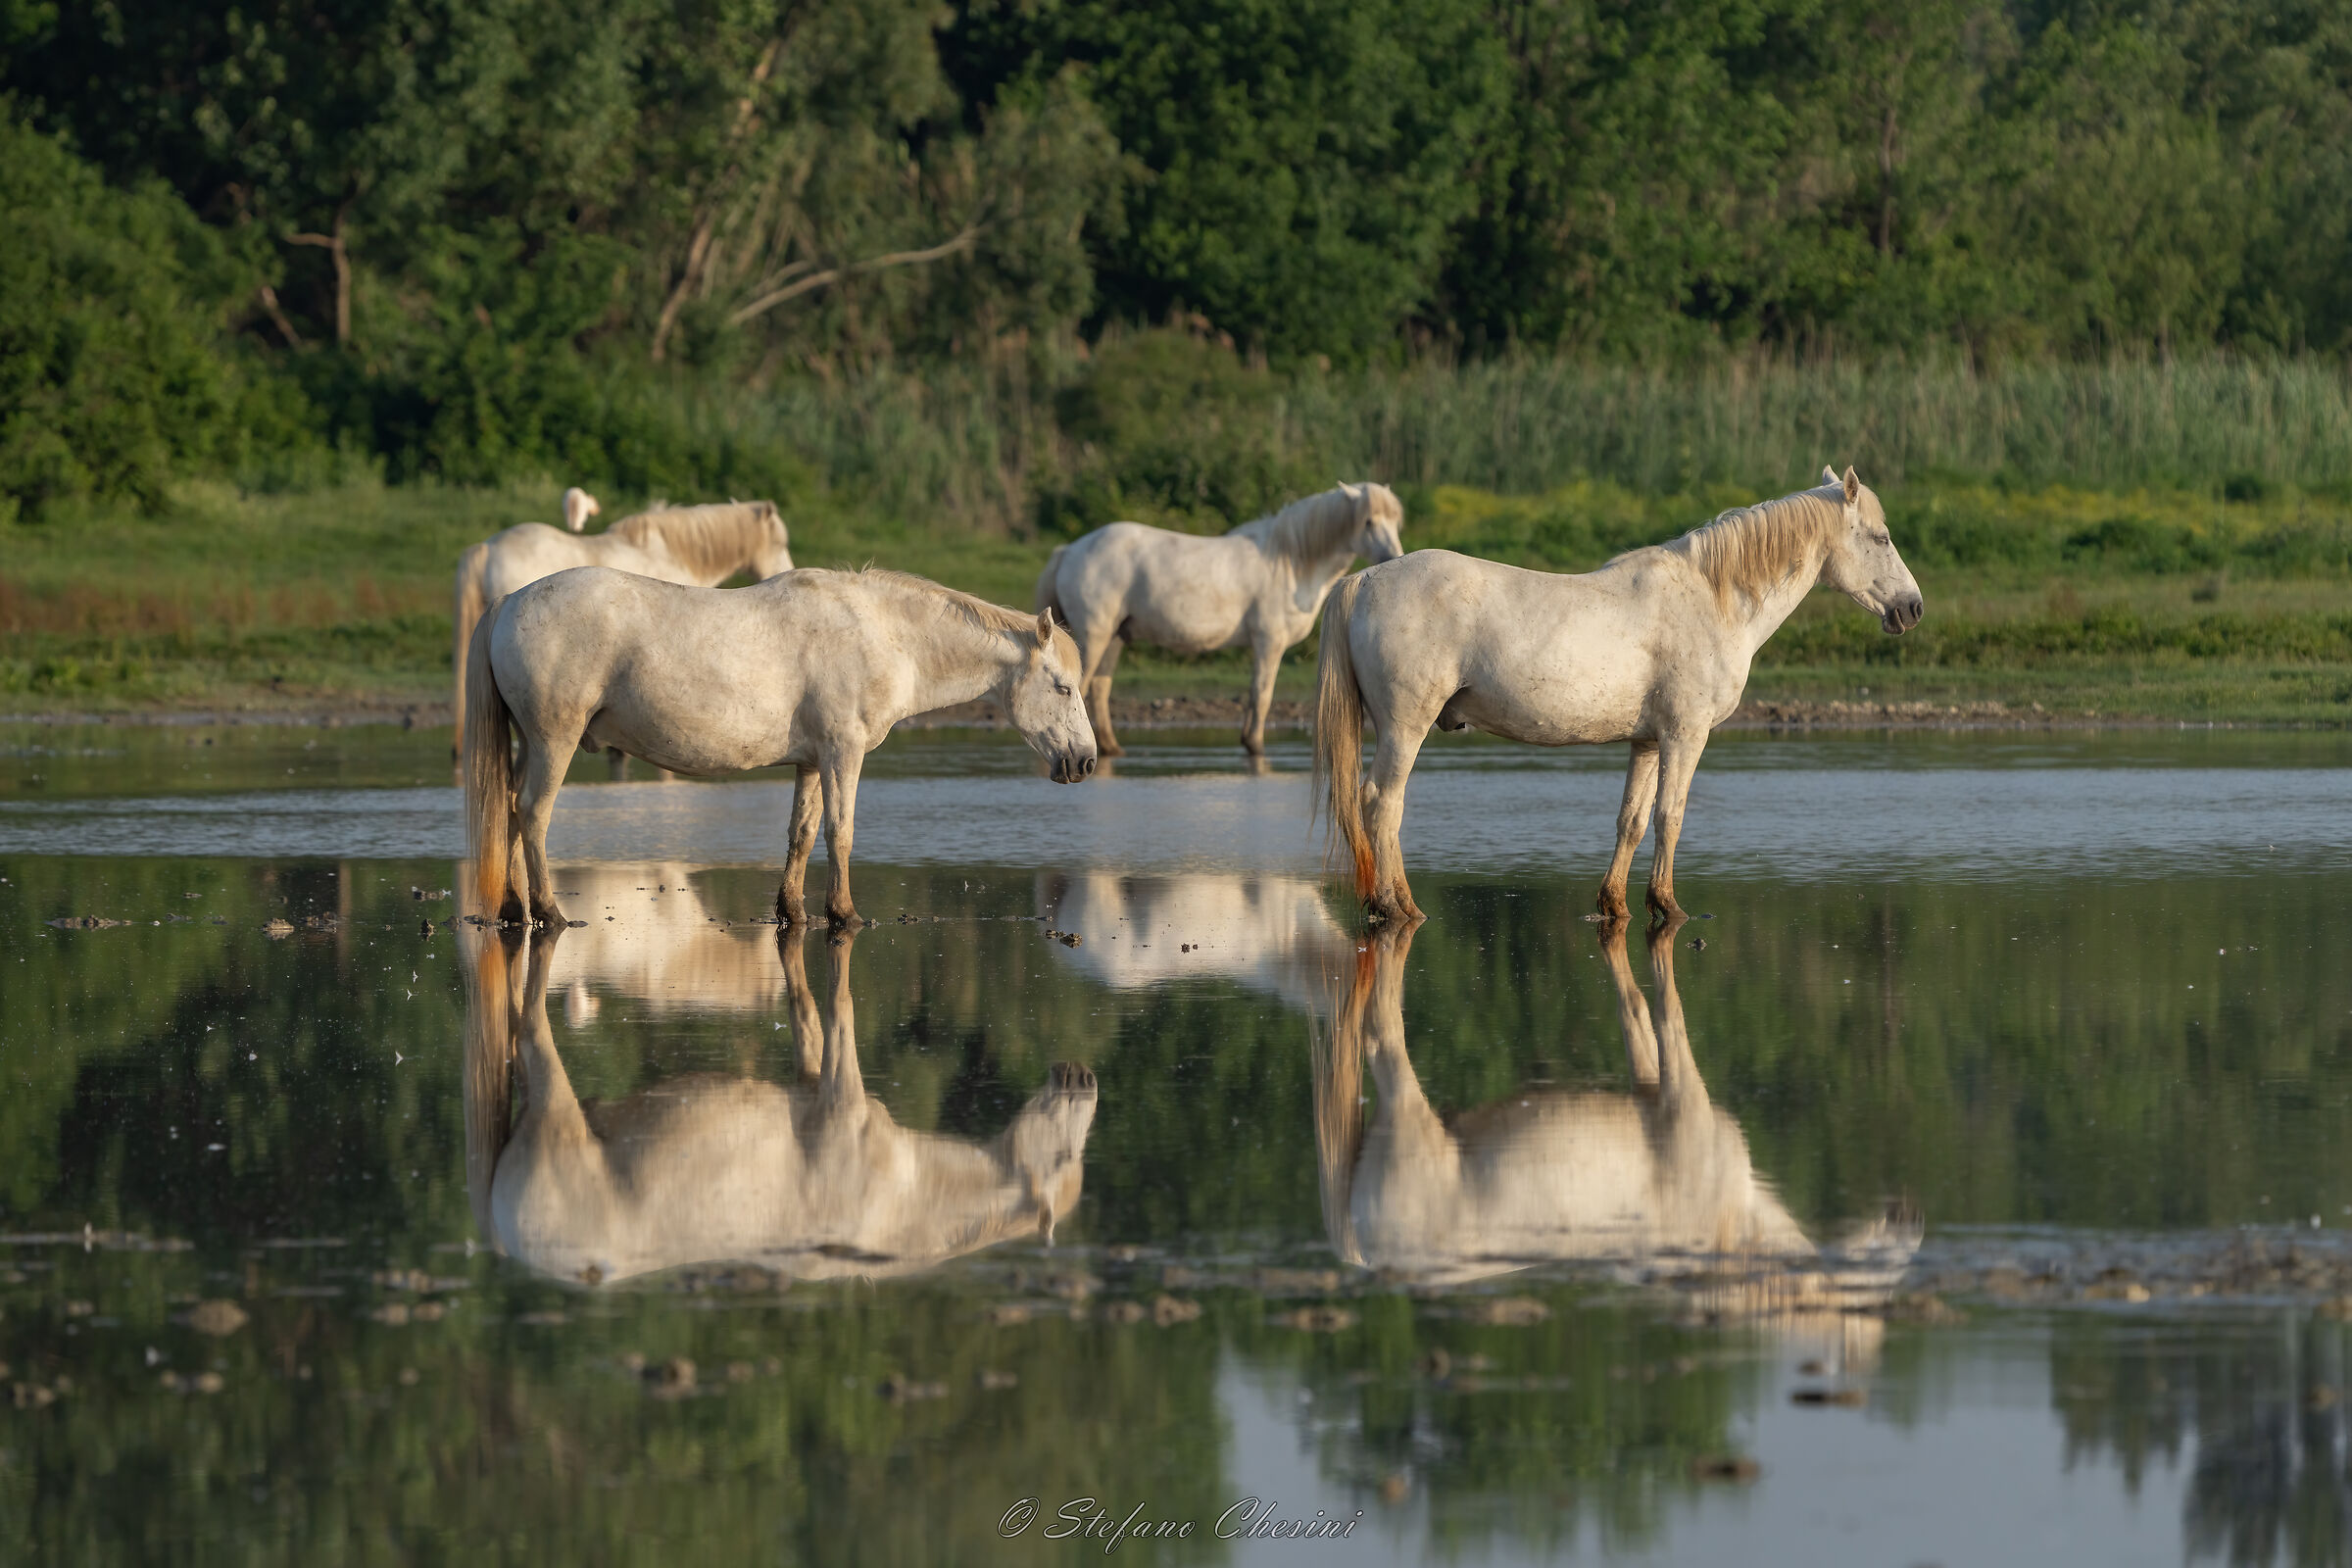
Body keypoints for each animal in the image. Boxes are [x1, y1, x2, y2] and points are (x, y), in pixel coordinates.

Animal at [461, 923, 1098, 1285]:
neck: (898, 1191)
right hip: (556, 1109)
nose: (1083, 1078)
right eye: (1064, 1156)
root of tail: (500, 1228)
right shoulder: (841, 1100)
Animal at [464, 565, 1096, 931]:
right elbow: (841, 831)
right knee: (533, 814)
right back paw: (548, 912)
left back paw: (515, 909)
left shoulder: (812, 762)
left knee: (512, 812)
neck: (883, 634)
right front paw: (843, 914)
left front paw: (792, 911)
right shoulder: (843, 754)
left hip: (531, 744)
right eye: (1064, 687)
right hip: (555, 740)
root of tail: (509, 602)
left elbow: (803, 833)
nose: (1086, 761)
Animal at [1035, 482, 1406, 757]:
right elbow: (1263, 694)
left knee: (1100, 689)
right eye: (1368, 521)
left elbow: (1255, 693)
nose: (1393, 557)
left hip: (1115, 637)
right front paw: (1255, 746)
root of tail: (1070, 550)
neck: (1289, 562)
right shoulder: (1269, 642)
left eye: (1394, 520)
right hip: (1095, 634)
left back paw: (1113, 749)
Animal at [1312, 918, 1921, 1323]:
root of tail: (1364, 1245)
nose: (1909, 1216)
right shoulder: (1685, 1097)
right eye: (1878, 1288)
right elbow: (1671, 1022)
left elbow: (1642, 1019)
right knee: (1384, 1037)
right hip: (1406, 1108)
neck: (1732, 1217)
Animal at [1315, 466, 1922, 926]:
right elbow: (1670, 816)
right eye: (1882, 538)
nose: (1913, 608)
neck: (1712, 599)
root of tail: (1362, 581)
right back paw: (1396, 909)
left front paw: (1615, 905)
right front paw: (1667, 906)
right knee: (1381, 804)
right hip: (1404, 728)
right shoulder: (1684, 736)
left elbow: (1631, 819)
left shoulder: (1647, 742)